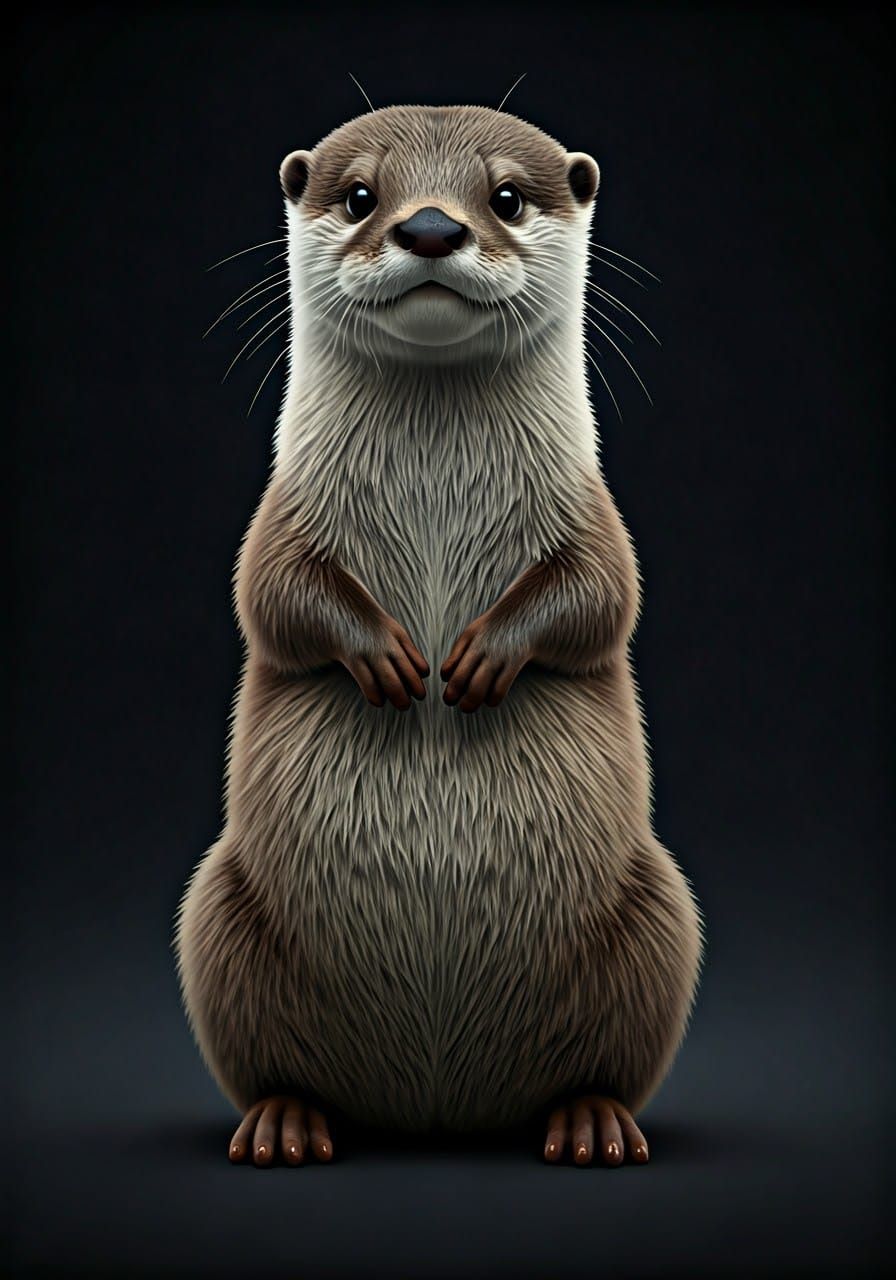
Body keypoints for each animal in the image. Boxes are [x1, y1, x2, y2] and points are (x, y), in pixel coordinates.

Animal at [174, 104, 703, 1169]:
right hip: (217, 910)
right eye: (360, 195)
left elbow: (602, 597)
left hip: (659, 911)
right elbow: (272, 597)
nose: (428, 227)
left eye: (505, 195)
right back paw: (286, 1122)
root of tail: (436, 1112)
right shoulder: (279, 517)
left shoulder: (594, 515)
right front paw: (383, 655)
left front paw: (484, 655)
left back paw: (590, 1121)